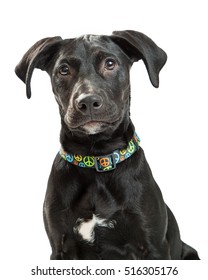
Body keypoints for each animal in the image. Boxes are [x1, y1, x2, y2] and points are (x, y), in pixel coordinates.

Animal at [15, 29, 200, 260]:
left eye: (110, 63)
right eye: (63, 69)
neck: (97, 158)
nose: (87, 102)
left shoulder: (154, 247)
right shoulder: (60, 249)